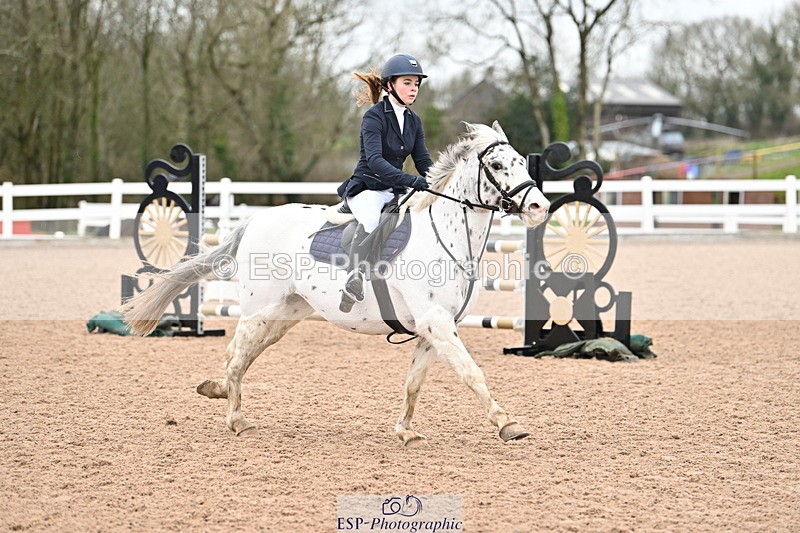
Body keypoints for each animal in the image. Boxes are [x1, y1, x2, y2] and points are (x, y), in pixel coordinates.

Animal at [122, 122, 550, 446]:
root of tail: (256, 219)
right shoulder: (436, 322)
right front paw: (507, 424)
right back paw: (236, 419)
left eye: (520, 160)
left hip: (285, 313)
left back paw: (219, 391)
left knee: (243, 356)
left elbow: (414, 382)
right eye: (497, 163)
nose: (539, 207)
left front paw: (406, 432)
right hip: (260, 308)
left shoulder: (435, 329)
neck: (446, 235)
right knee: (236, 354)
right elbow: (472, 372)